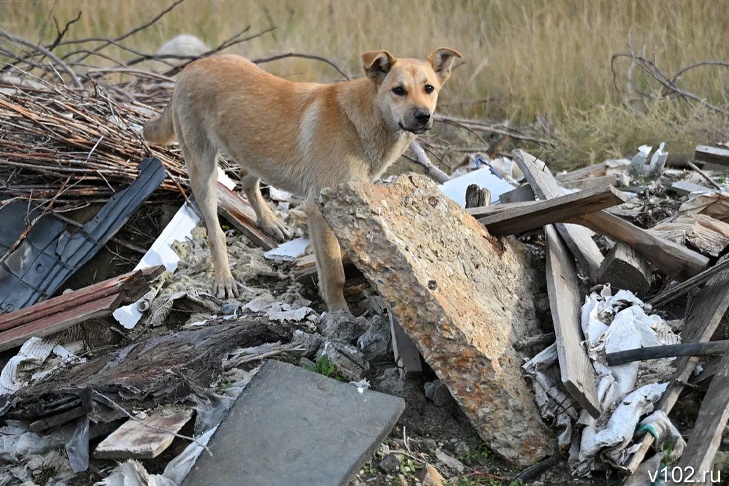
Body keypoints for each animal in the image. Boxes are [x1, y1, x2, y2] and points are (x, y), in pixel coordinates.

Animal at [144, 48, 460, 312]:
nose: (423, 116)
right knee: (215, 231)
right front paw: (340, 313)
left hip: (258, 148)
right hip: (203, 167)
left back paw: (270, 222)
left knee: (247, 179)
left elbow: (328, 263)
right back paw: (224, 278)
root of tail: (190, 68)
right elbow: (335, 272)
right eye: (398, 91)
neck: (363, 119)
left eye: (429, 89)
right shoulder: (319, 209)